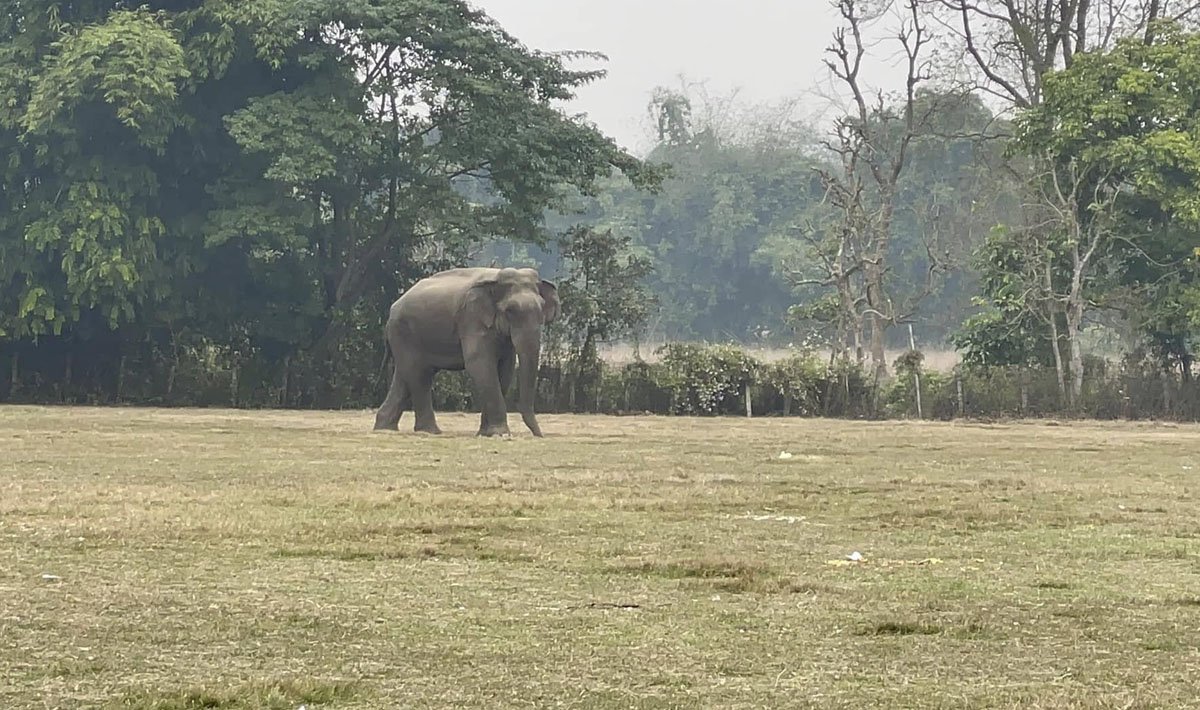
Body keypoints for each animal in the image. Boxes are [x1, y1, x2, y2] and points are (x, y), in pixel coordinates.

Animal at [372, 266, 559, 436]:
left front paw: (485, 433)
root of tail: (392, 309)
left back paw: (385, 428)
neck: (495, 278)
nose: (539, 435)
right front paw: (500, 434)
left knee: (405, 376)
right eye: (510, 311)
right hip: (404, 333)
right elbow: (479, 363)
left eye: (542, 308)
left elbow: (506, 368)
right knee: (419, 375)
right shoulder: (471, 319)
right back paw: (430, 431)